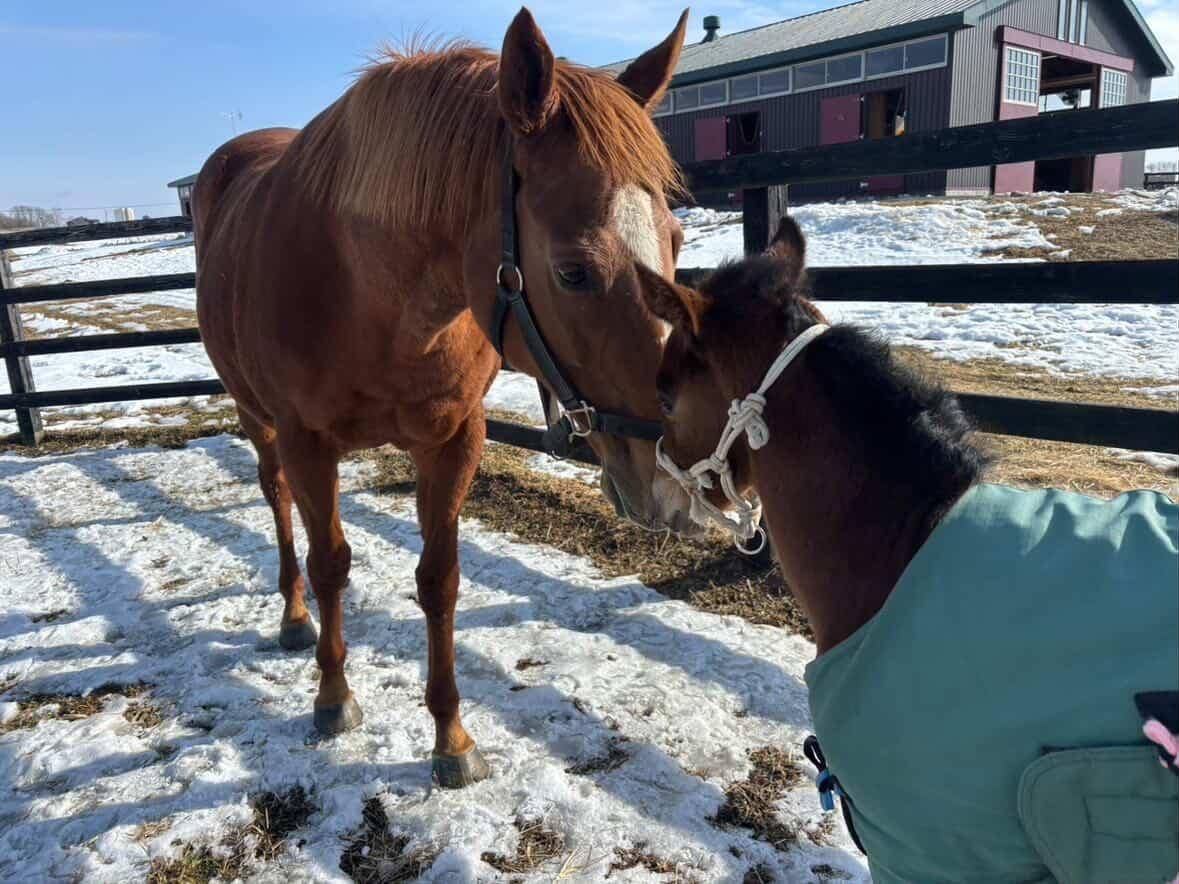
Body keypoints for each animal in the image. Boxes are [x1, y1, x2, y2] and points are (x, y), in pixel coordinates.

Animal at [193, 8, 697, 788]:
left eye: (676, 238)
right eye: (572, 271)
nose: (673, 479)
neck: (364, 288)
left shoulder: (455, 440)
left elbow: (440, 581)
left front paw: (451, 736)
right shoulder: (309, 442)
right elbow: (331, 562)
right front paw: (333, 697)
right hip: (258, 418)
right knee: (275, 501)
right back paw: (294, 617)